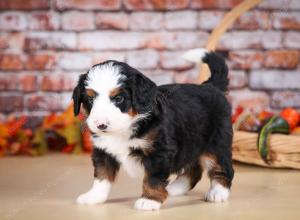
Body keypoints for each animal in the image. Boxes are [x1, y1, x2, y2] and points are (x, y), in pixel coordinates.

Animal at [71, 49, 233, 211]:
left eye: (118, 99)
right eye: (90, 100)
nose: (101, 125)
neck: (125, 128)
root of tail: (211, 87)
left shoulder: (159, 152)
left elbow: (153, 178)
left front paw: (149, 200)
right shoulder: (103, 150)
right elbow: (102, 176)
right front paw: (94, 196)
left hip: (217, 144)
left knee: (223, 168)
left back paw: (218, 192)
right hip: (191, 144)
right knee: (194, 170)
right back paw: (175, 188)